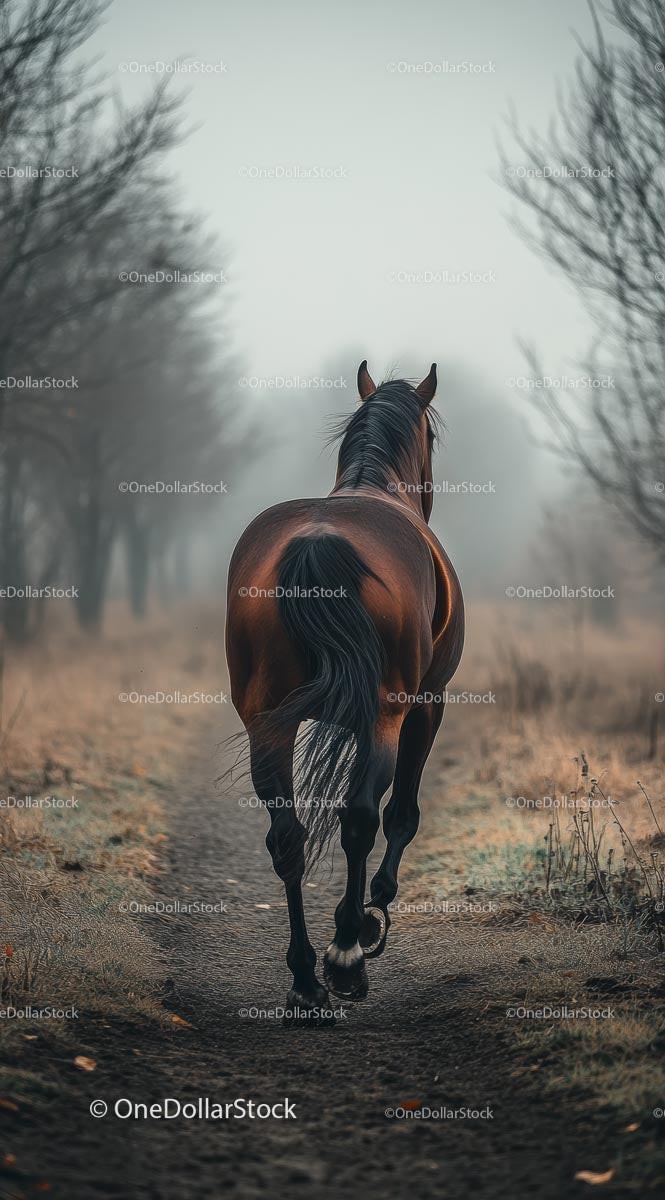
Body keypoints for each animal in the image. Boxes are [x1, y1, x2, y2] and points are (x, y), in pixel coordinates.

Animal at [225, 361, 464, 1016]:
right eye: (434, 438)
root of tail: (316, 544)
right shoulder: (427, 706)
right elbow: (402, 814)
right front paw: (373, 910)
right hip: (385, 716)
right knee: (360, 817)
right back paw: (346, 956)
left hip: (268, 724)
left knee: (287, 837)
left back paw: (306, 976)